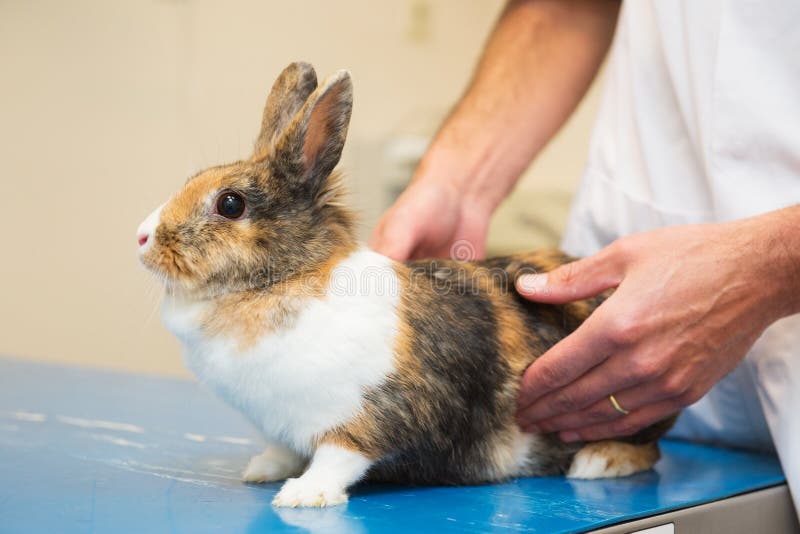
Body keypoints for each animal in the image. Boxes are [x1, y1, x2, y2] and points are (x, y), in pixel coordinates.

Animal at [137, 62, 676, 508]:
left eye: (230, 204)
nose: (141, 237)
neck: (287, 279)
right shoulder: (282, 425)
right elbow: (284, 449)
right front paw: (263, 470)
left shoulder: (370, 413)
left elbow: (340, 455)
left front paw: (304, 495)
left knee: (650, 449)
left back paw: (598, 462)